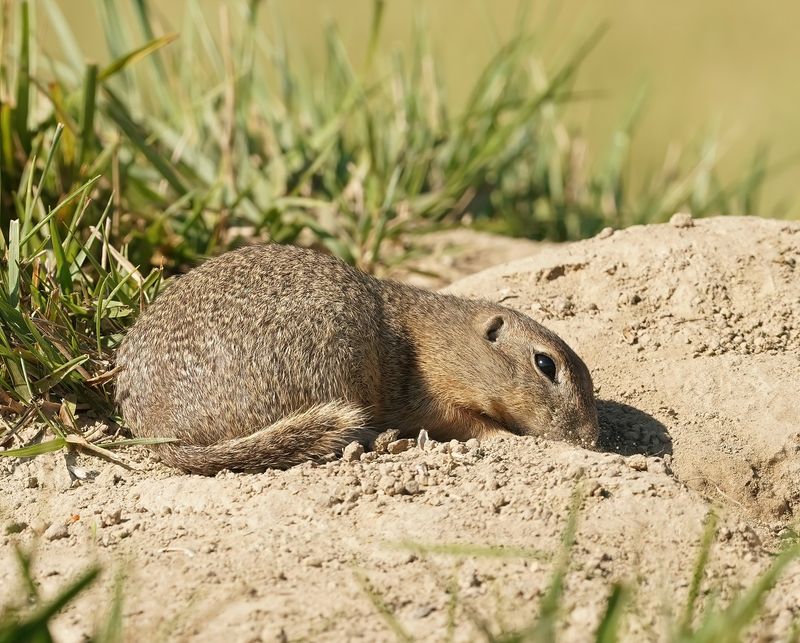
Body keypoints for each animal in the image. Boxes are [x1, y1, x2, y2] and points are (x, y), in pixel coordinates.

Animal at [115, 243, 599, 475]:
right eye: (545, 364)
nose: (592, 440)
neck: (440, 338)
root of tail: (158, 432)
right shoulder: (425, 396)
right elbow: (468, 423)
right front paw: (509, 437)